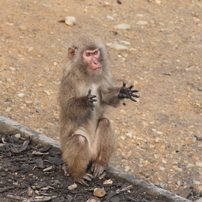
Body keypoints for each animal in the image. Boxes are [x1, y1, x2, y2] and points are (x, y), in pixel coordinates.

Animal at [58, 36, 139, 185]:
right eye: (88, 54)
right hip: (67, 152)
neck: (87, 75)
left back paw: (100, 163)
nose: (96, 61)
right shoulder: (69, 79)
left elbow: (106, 97)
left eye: (95, 52)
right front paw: (85, 101)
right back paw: (77, 174)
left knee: (105, 123)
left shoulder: (104, 74)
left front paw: (122, 92)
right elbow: (68, 108)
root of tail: (91, 155)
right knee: (79, 140)